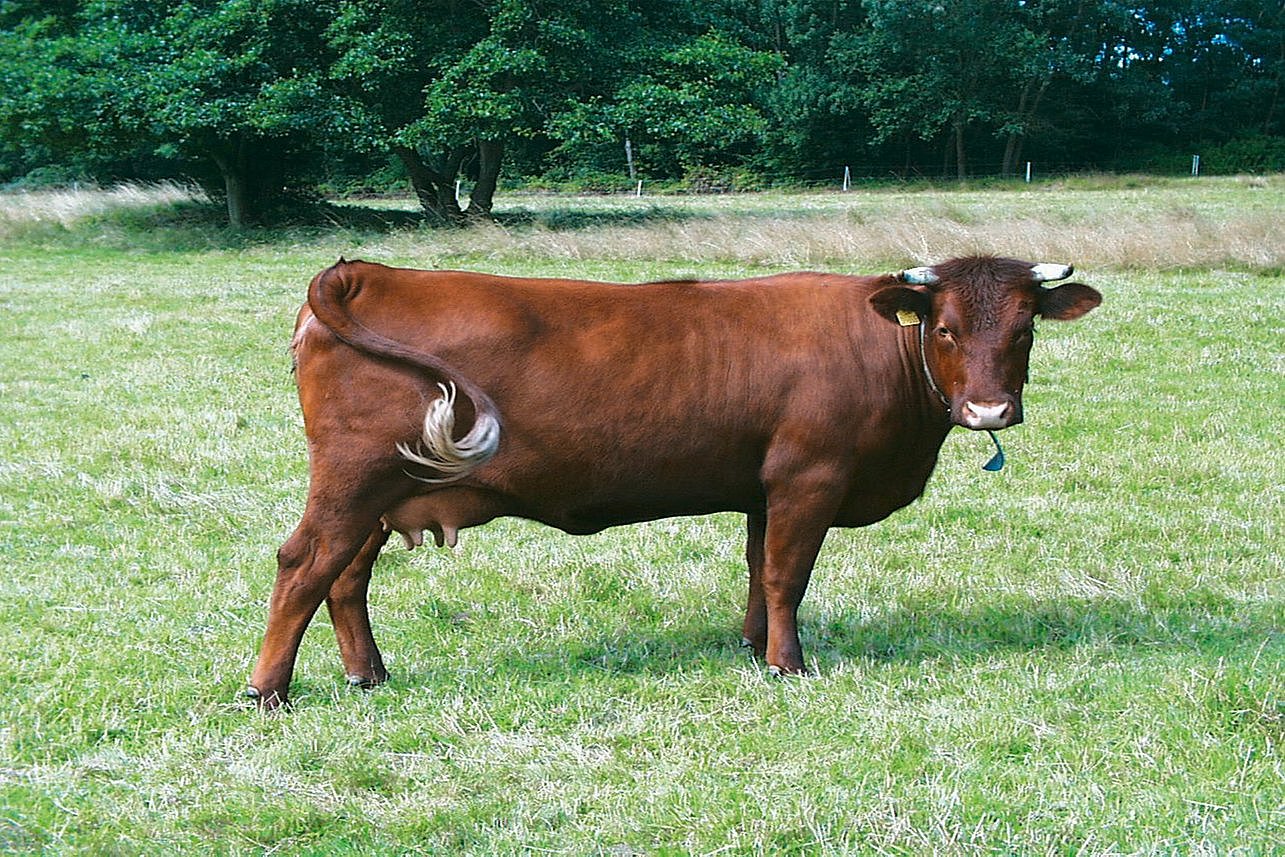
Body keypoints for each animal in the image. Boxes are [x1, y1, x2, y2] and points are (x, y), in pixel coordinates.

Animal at [250, 256, 1105, 709]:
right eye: (944, 328)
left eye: (1023, 329)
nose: (988, 408)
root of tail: (364, 272)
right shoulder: (809, 477)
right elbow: (788, 574)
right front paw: (788, 664)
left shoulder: (764, 487)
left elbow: (759, 570)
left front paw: (752, 646)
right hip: (353, 479)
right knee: (303, 565)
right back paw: (267, 689)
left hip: (380, 494)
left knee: (345, 577)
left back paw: (367, 673)